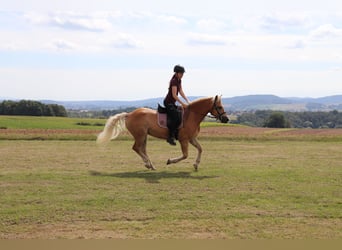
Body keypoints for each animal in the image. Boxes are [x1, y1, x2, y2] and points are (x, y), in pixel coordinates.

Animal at [96, 94, 228, 171]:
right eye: (219, 107)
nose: (226, 119)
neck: (192, 116)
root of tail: (129, 114)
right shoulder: (184, 140)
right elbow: (185, 155)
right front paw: (170, 161)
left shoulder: (191, 138)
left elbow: (200, 149)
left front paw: (196, 165)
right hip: (140, 135)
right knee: (136, 148)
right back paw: (148, 164)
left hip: (144, 136)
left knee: (142, 149)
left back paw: (150, 165)